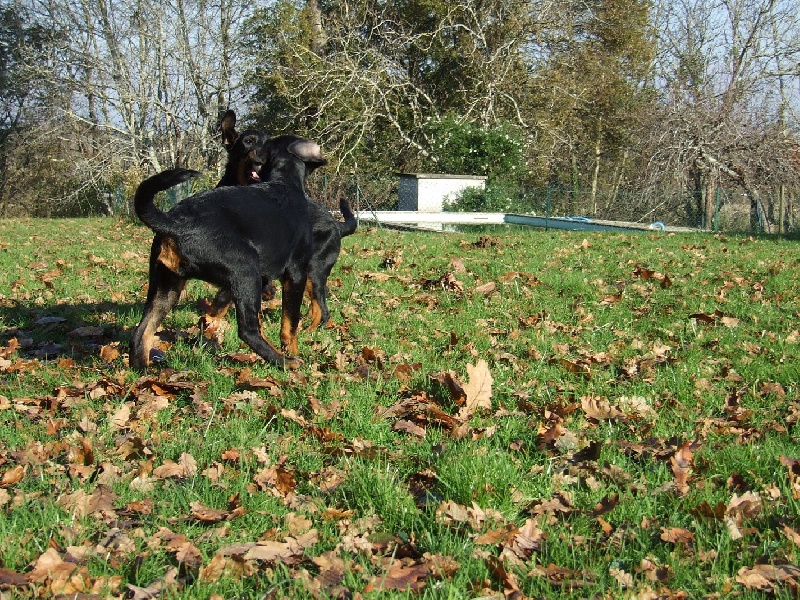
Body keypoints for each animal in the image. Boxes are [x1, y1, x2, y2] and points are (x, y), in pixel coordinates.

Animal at [128, 137, 324, 370]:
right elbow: (290, 322)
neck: (284, 182)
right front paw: (293, 350)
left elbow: (220, 304)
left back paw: (144, 368)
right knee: (249, 331)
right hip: (246, 270)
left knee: (141, 332)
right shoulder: (295, 274)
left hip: (166, 287)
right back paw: (285, 362)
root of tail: (175, 223)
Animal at [209, 110, 356, 330]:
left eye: (268, 142)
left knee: (321, 307)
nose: (260, 160)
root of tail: (337, 225)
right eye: (248, 141)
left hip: (314, 269)